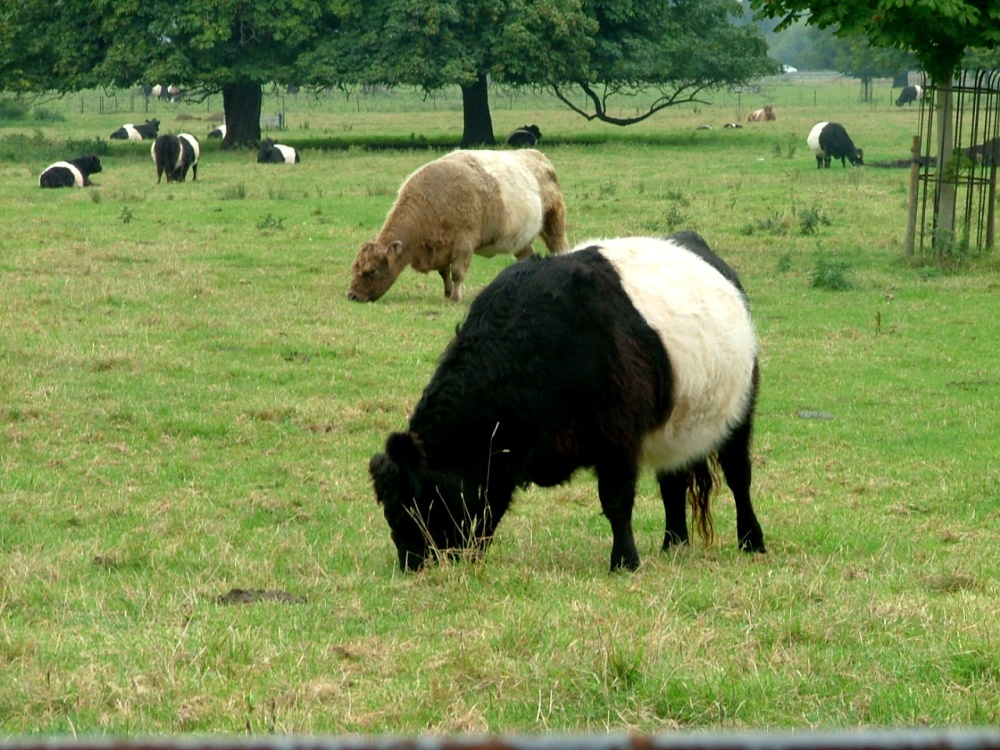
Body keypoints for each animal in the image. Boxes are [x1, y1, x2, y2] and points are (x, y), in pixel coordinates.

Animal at [346, 148, 568, 304]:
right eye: (355, 267)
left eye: (372, 270)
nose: (352, 296)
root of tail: (539, 156)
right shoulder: (440, 248)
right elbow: (444, 273)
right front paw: (447, 293)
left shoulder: (464, 243)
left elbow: (457, 272)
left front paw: (455, 297)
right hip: (521, 242)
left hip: (553, 224)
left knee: (560, 248)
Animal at [370, 232, 764, 572]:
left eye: (416, 505)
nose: (412, 564)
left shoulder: (617, 436)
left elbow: (616, 501)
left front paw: (624, 561)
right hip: (674, 426)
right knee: (674, 482)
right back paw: (674, 543)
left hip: (740, 412)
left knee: (738, 476)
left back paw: (751, 541)